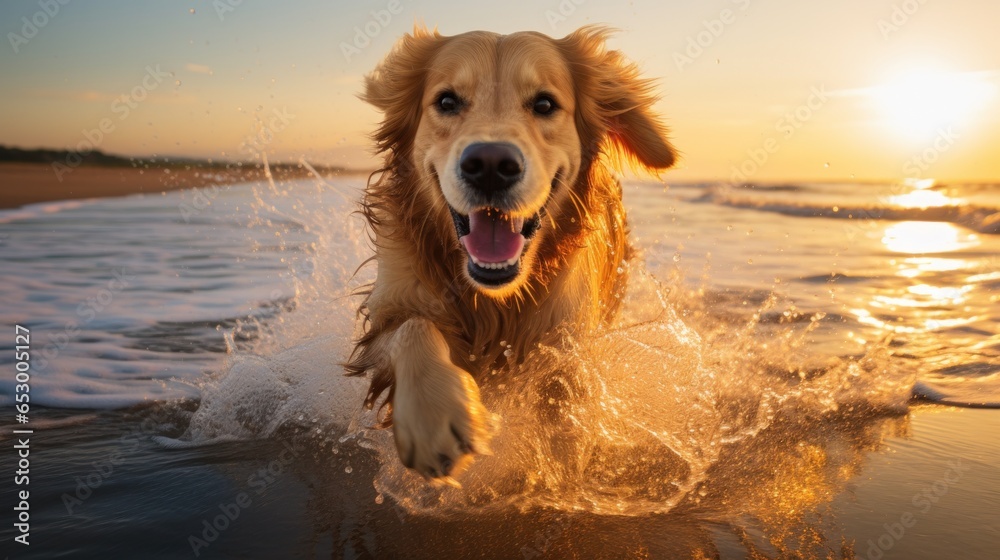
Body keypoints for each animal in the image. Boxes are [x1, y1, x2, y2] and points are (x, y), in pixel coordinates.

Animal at [348, 25, 676, 482]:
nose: (489, 164)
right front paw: (434, 414)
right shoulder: (392, 305)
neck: (493, 301)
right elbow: (413, 326)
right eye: (446, 101)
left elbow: (563, 413)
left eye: (545, 104)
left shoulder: (565, 344)